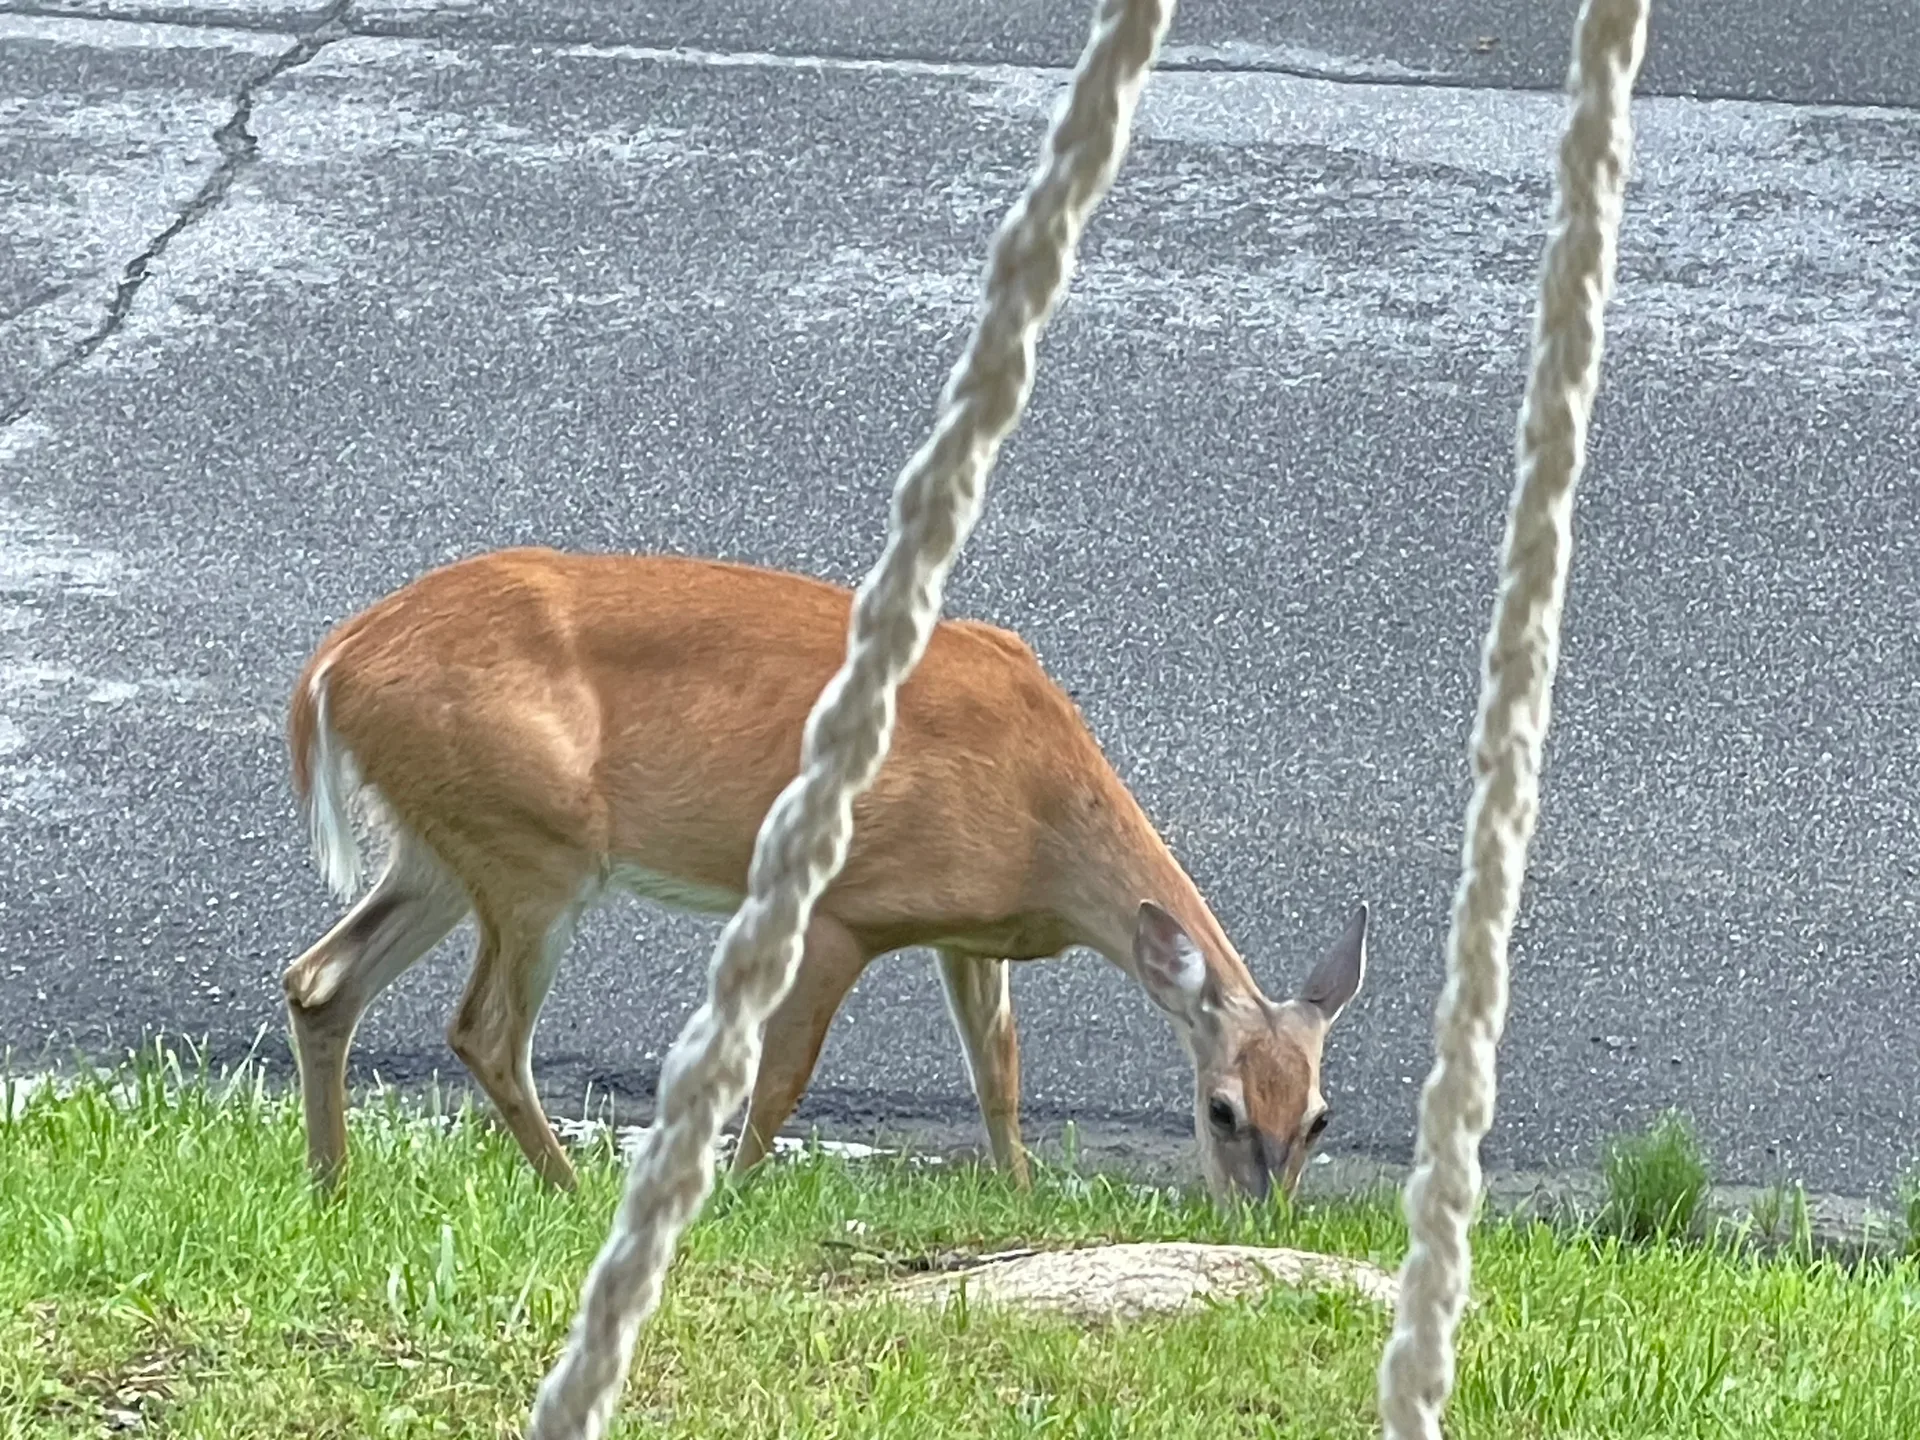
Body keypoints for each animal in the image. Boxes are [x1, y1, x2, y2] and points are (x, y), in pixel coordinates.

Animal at [279, 546, 1368, 1205]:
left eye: (1320, 1116)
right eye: (1222, 1110)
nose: (1260, 1216)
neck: (1043, 824)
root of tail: (330, 668)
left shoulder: (968, 932)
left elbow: (1000, 1072)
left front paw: (1018, 1192)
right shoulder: (848, 906)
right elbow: (780, 1081)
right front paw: (733, 1196)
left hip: (443, 849)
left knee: (320, 980)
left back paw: (332, 1186)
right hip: (533, 847)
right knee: (484, 1029)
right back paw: (572, 1193)